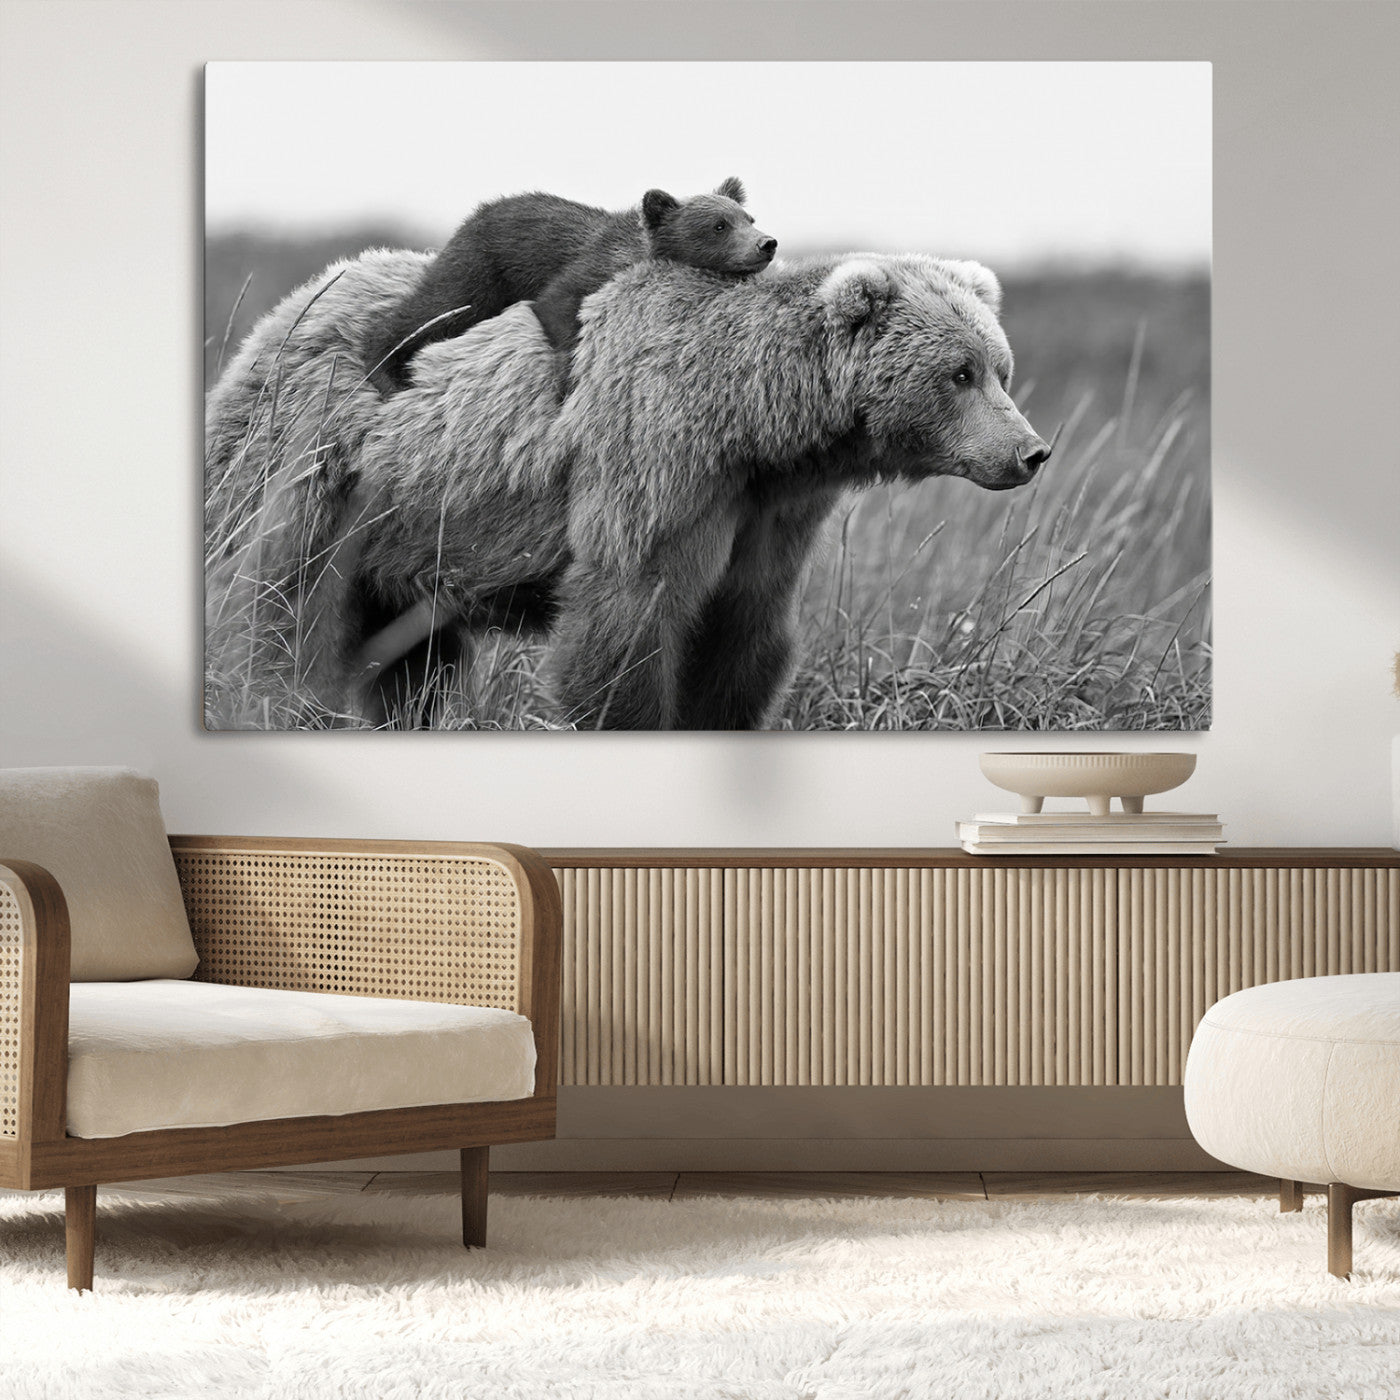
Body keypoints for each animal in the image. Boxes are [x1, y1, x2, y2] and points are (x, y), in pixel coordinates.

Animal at [204, 247, 1050, 730]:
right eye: (959, 373)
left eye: (1000, 368)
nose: (1031, 451)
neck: (755, 424)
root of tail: (291, 305)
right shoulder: (655, 464)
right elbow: (626, 623)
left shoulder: (769, 514)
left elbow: (742, 637)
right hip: (319, 468)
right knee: (280, 606)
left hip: (412, 532)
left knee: (413, 662)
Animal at [360, 177, 777, 396]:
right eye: (719, 225)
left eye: (749, 217)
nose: (766, 243)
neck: (637, 253)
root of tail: (477, 212)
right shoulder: (588, 268)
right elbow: (557, 305)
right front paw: (567, 379)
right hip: (481, 268)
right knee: (436, 308)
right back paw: (385, 370)